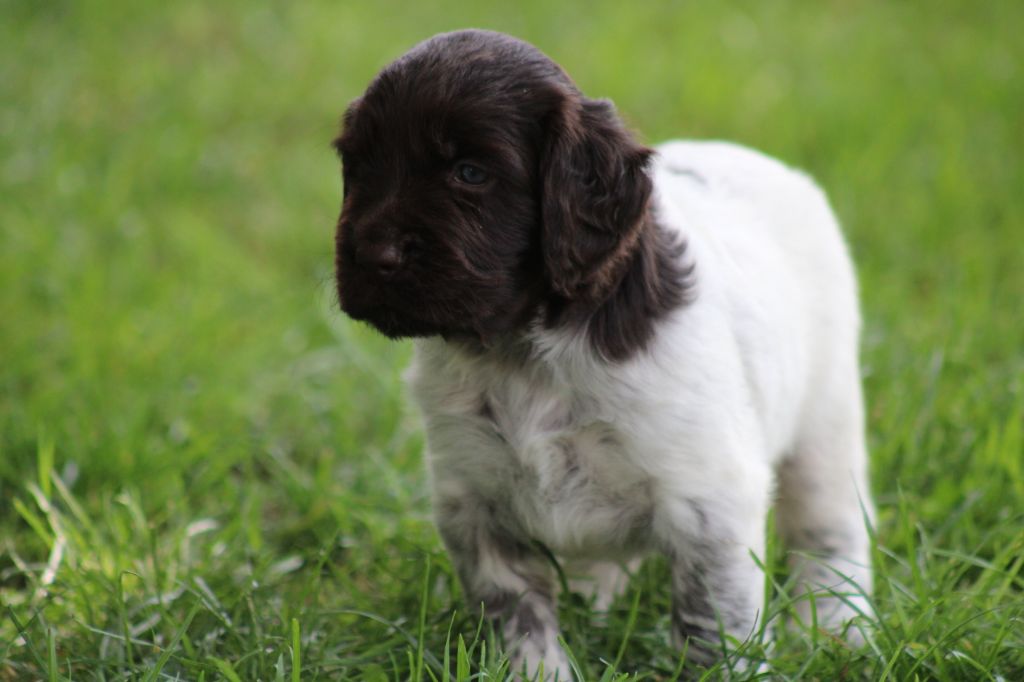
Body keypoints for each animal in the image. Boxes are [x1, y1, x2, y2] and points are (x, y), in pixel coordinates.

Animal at [333, 29, 872, 675]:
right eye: (360, 166)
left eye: (470, 173)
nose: (374, 255)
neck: (522, 350)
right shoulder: (475, 502)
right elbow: (521, 621)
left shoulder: (710, 500)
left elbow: (713, 629)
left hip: (826, 416)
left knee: (832, 527)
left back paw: (837, 624)